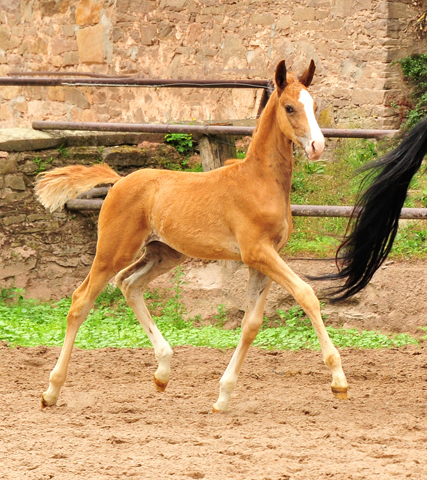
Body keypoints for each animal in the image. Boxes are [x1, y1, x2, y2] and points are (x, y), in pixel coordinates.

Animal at [35, 60, 350, 412]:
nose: (317, 146)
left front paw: (223, 396)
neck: (260, 181)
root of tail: (118, 181)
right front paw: (338, 381)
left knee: (129, 284)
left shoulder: (265, 258)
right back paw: (51, 391)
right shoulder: (257, 252)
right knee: (81, 300)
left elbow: (251, 324)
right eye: (290, 107)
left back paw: (162, 371)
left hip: (164, 253)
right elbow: (306, 294)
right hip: (114, 250)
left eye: (315, 106)